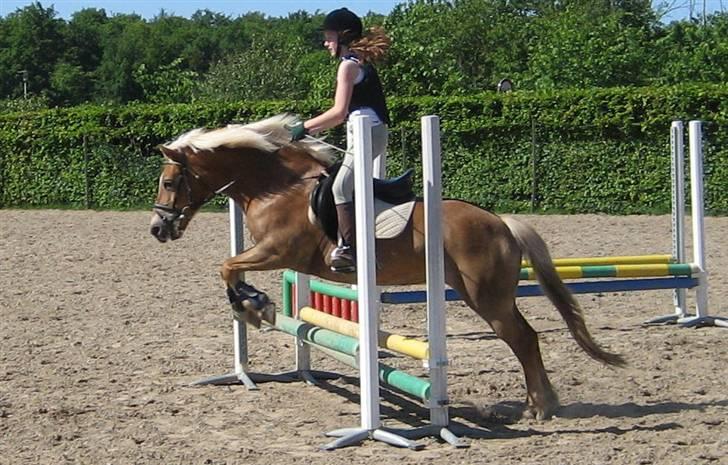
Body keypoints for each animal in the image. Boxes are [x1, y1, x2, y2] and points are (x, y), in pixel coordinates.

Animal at [149, 113, 624, 420]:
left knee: (524, 338)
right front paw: (253, 307)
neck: (277, 186)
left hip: (486, 297)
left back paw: (541, 406)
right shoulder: (271, 253)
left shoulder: (277, 251)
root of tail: (500, 222)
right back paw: (539, 403)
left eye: (170, 182)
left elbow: (226, 266)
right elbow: (230, 268)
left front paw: (255, 307)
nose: (158, 229)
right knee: (525, 337)